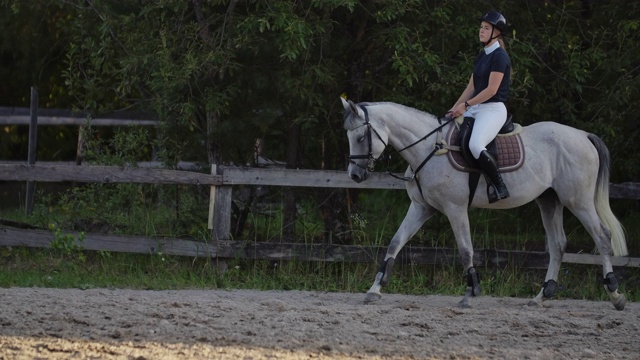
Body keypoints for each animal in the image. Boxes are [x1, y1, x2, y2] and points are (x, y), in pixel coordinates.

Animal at [342, 97, 628, 310]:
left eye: (360, 137)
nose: (354, 175)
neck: (430, 148)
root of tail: (583, 135)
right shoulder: (421, 208)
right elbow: (395, 242)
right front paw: (375, 289)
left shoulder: (455, 208)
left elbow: (465, 250)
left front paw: (470, 293)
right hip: (549, 201)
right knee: (558, 245)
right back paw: (541, 296)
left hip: (578, 200)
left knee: (602, 237)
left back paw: (615, 295)